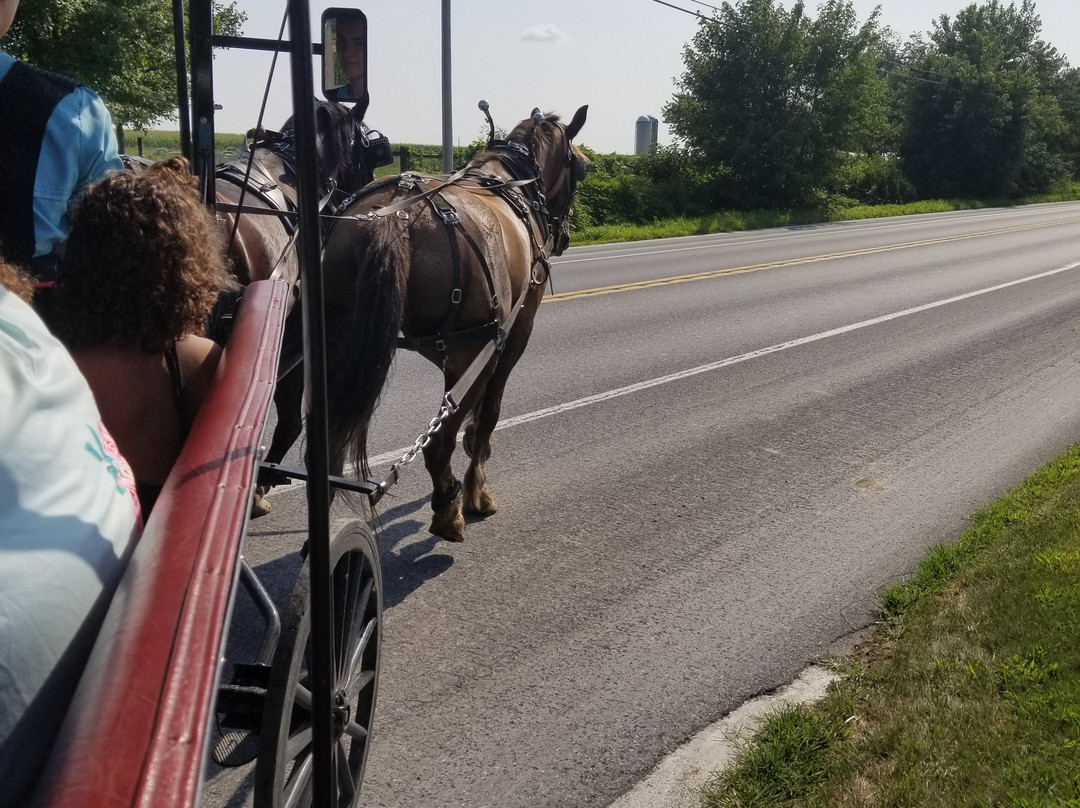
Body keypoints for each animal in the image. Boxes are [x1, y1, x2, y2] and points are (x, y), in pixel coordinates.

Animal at [319, 102, 591, 542]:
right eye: (580, 167)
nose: (562, 237)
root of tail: (393, 218)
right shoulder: (510, 334)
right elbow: (490, 410)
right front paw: (478, 487)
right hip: (469, 350)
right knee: (436, 444)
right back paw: (449, 508)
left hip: (341, 349)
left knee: (329, 451)